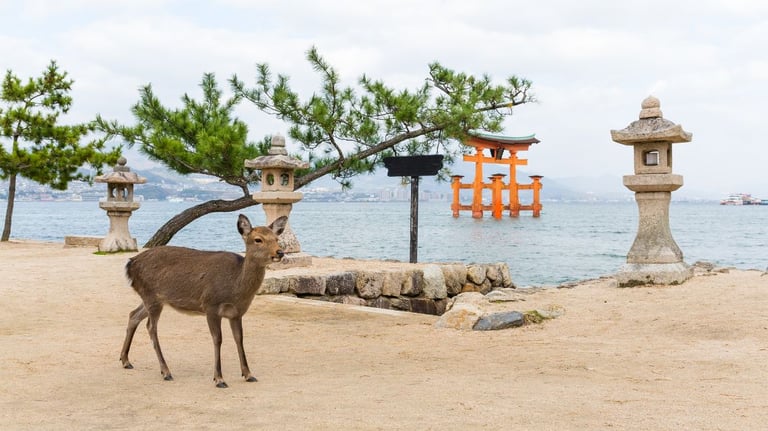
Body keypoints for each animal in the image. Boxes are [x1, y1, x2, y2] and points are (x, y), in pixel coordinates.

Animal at [119, 214, 287, 388]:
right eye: (258, 239)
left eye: (276, 238)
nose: (280, 252)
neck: (235, 288)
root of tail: (130, 264)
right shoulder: (210, 306)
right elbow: (217, 339)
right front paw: (219, 379)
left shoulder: (236, 313)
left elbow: (239, 339)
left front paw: (248, 374)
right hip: (151, 296)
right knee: (151, 328)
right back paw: (166, 371)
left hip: (153, 298)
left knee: (133, 315)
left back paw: (125, 360)